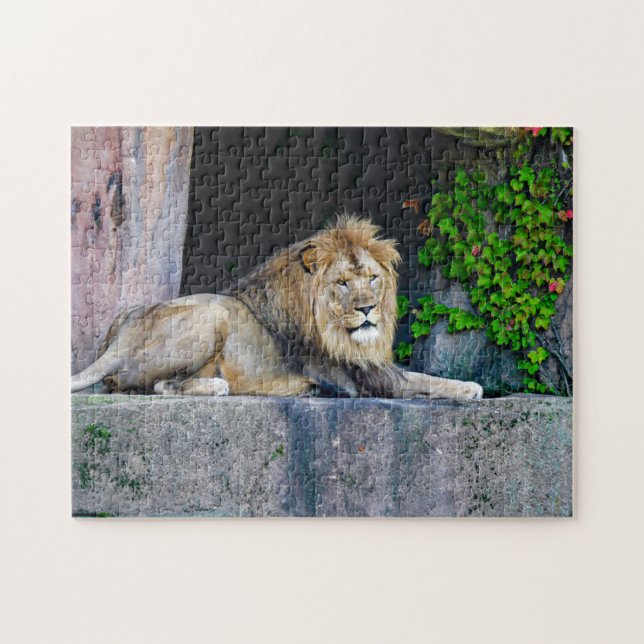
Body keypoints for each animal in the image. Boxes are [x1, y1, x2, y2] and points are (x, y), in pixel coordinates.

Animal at [71, 215, 483, 400]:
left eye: (372, 278)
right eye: (342, 283)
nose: (367, 309)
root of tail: (122, 334)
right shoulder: (359, 379)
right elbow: (424, 380)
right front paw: (470, 387)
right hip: (213, 313)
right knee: (149, 386)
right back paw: (217, 385)